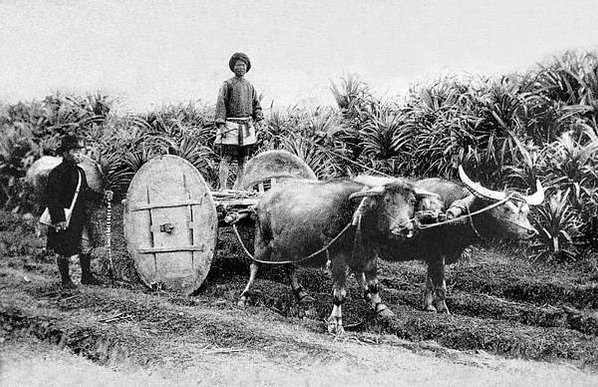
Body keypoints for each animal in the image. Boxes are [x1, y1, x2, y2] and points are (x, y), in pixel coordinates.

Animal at [239, 177, 440, 334]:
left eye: (412, 201)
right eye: (388, 200)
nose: (404, 227)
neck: (359, 215)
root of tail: (264, 198)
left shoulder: (370, 254)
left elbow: (373, 284)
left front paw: (381, 308)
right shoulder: (338, 258)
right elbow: (340, 293)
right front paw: (335, 323)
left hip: (289, 246)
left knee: (289, 266)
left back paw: (302, 294)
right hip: (263, 240)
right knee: (255, 266)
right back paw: (244, 296)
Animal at [360, 167, 548, 316]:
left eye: (526, 211)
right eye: (506, 208)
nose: (530, 232)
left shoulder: (434, 257)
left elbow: (430, 282)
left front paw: (429, 306)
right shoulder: (437, 255)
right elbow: (441, 286)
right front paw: (444, 310)